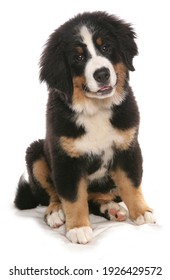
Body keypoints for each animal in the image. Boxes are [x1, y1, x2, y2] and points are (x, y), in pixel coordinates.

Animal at [14, 11, 155, 243]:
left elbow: (131, 184)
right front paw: (78, 227)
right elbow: (73, 196)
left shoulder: (127, 148)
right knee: (53, 194)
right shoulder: (66, 159)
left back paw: (111, 208)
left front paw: (142, 212)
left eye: (105, 47)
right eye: (78, 58)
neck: (96, 110)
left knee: (98, 195)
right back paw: (55, 213)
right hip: (36, 153)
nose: (102, 74)